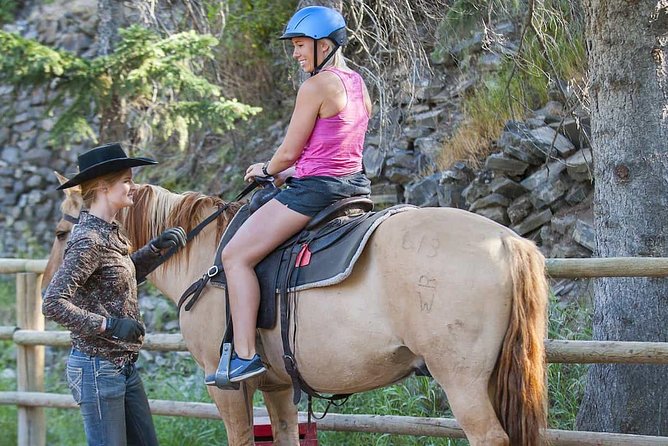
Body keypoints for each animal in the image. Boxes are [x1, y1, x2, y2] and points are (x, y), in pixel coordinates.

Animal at [45, 178, 548, 446]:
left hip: (462, 380)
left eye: (60, 232)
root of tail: (506, 242)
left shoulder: (224, 385)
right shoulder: (278, 385)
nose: (49, 293)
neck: (206, 256)